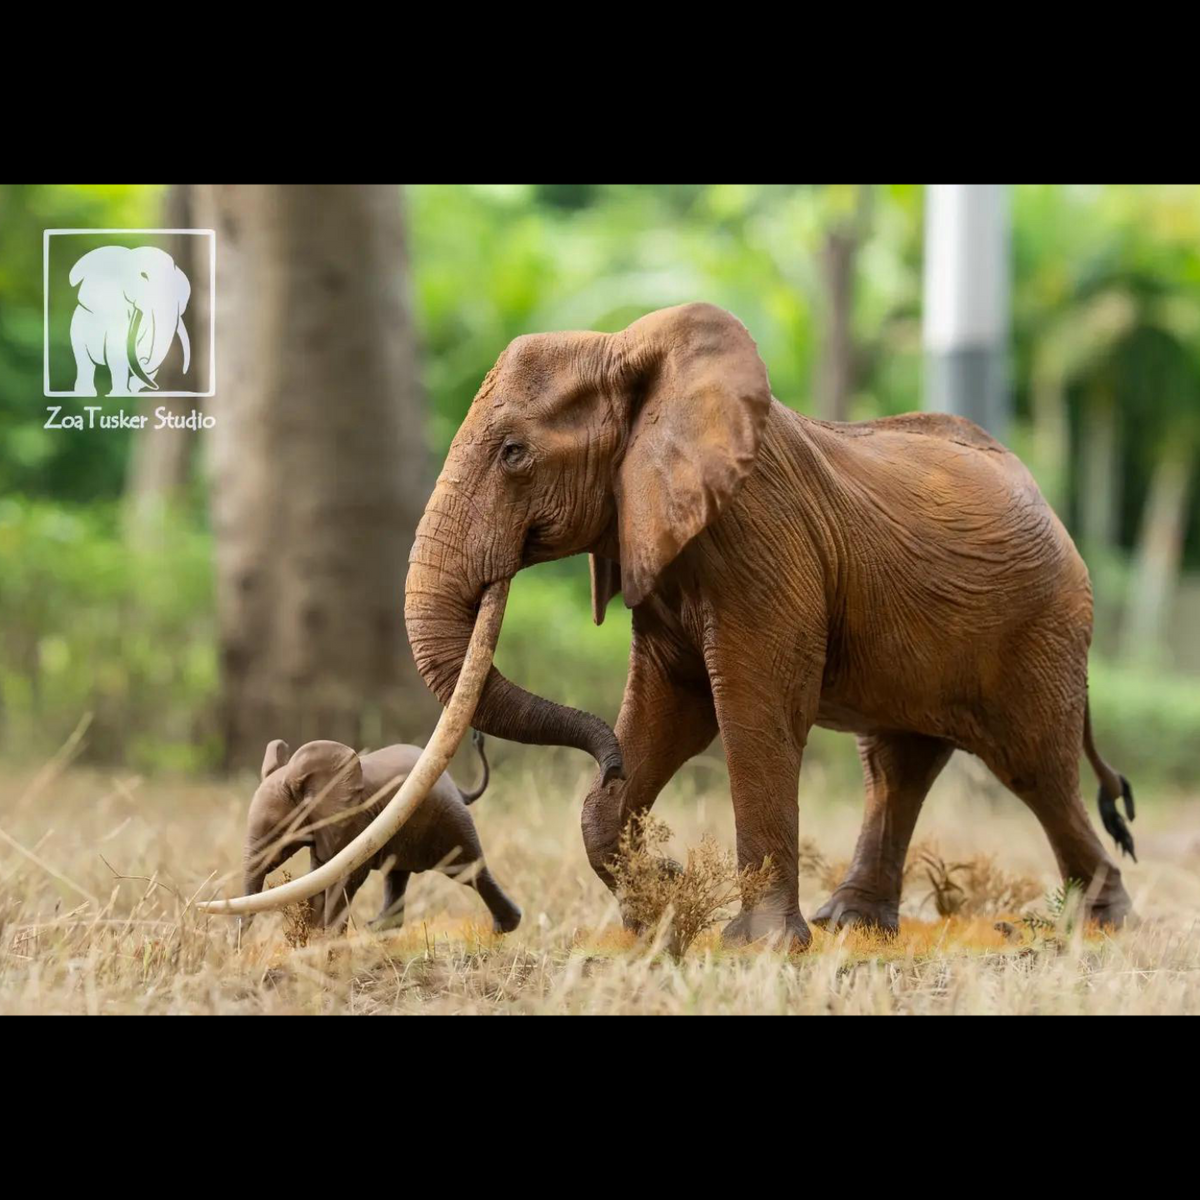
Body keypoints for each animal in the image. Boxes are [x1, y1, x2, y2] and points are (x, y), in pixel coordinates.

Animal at [240, 731, 521, 935]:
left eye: (278, 832)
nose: (237, 949)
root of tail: (455, 786)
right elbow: (319, 873)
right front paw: (314, 936)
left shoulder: (355, 822)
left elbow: (347, 877)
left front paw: (327, 940)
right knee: (396, 875)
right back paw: (376, 929)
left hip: (451, 821)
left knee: (468, 870)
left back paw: (504, 928)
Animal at [396, 302, 1135, 951]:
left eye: (514, 453)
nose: (671, 862)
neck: (628, 351)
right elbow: (666, 712)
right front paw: (656, 917)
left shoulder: (762, 539)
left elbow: (753, 713)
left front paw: (757, 946)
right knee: (897, 766)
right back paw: (855, 928)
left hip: (1042, 625)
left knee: (1035, 767)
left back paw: (1102, 925)